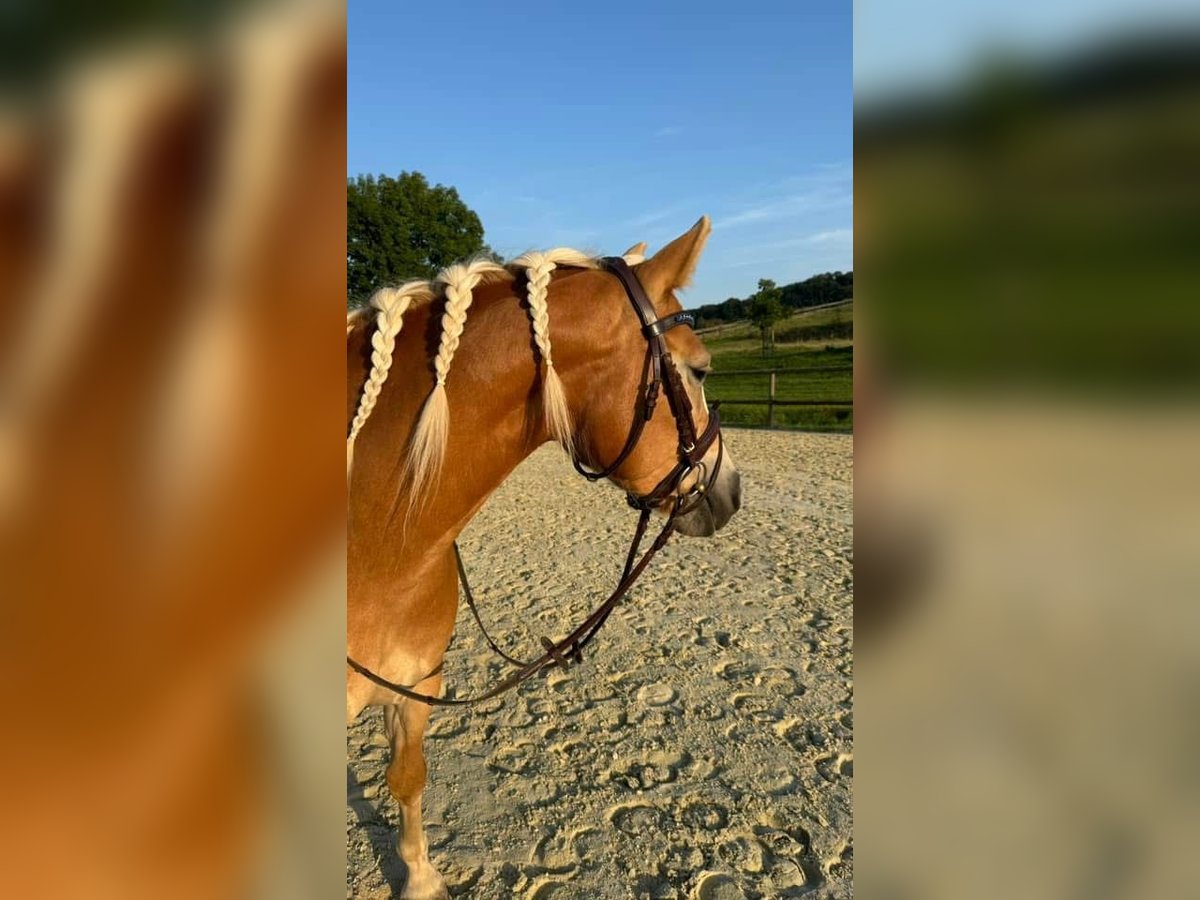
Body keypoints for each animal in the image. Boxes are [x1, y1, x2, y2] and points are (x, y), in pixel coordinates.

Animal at [345, 214, 739, 897]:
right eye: (700, 370)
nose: (731, 491)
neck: (380, 548)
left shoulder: (416, 686)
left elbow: (408, 777)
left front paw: (420, 878)